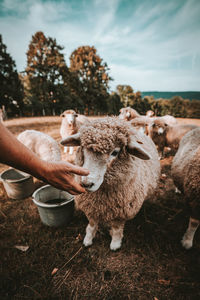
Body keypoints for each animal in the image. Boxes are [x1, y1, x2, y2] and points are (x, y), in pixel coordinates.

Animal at [60, 117, 160, 251]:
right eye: (83, 148)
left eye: (115, 152)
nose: (87, 184)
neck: (102, 197)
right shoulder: (91, 207)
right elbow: (92, 225)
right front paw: (88, 239)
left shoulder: (121, 212)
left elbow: (117, 229)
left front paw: (115, 243)